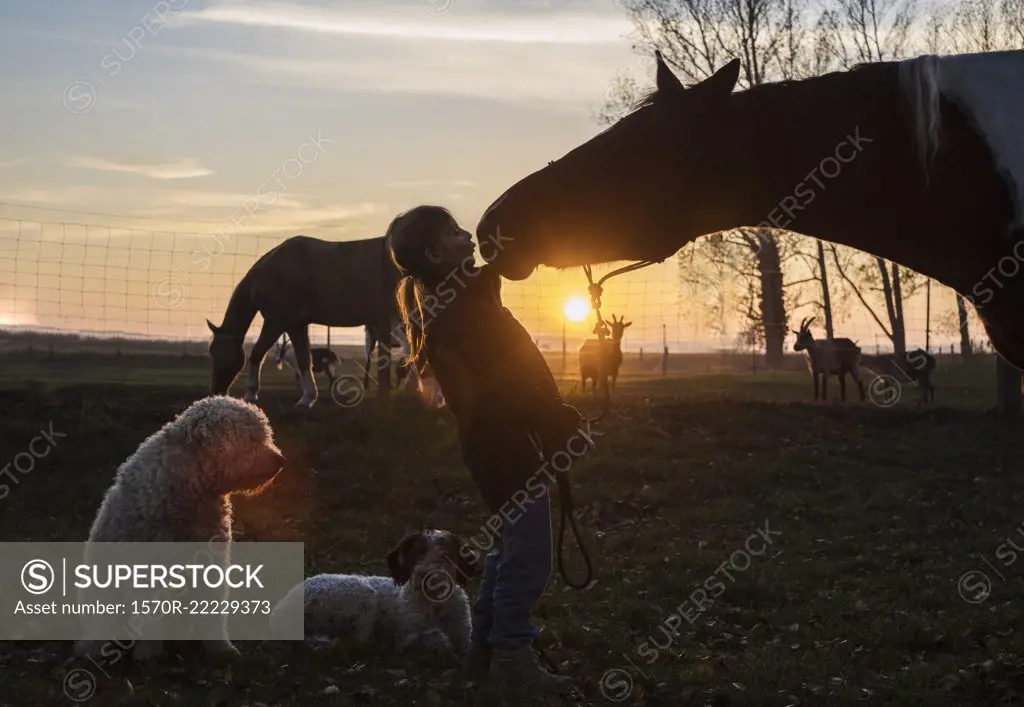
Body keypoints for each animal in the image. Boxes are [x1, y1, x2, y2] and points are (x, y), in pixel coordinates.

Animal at [73, 393, 284, 663]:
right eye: (250, 438)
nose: (281, 461)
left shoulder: (210, 566)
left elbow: (213, 614)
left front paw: (220, 648)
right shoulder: (148, 571)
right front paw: (148, 654)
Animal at [204, 233, 399, 405]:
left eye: (218, 352)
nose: (216, 391)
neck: (272, 271)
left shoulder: (277, 322)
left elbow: (257, 353)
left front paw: (251, 394)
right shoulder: (297, 325)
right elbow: (304, 358)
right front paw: (308, 398)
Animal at [272, 528, 479, 655]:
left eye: (446, 555)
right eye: (417, 554)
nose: (427, 575)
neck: (436, 605)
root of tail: (279, 610)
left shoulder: (465, 638)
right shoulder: (406, 636)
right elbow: (434, 637)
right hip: (364, 595)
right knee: (361, 640)